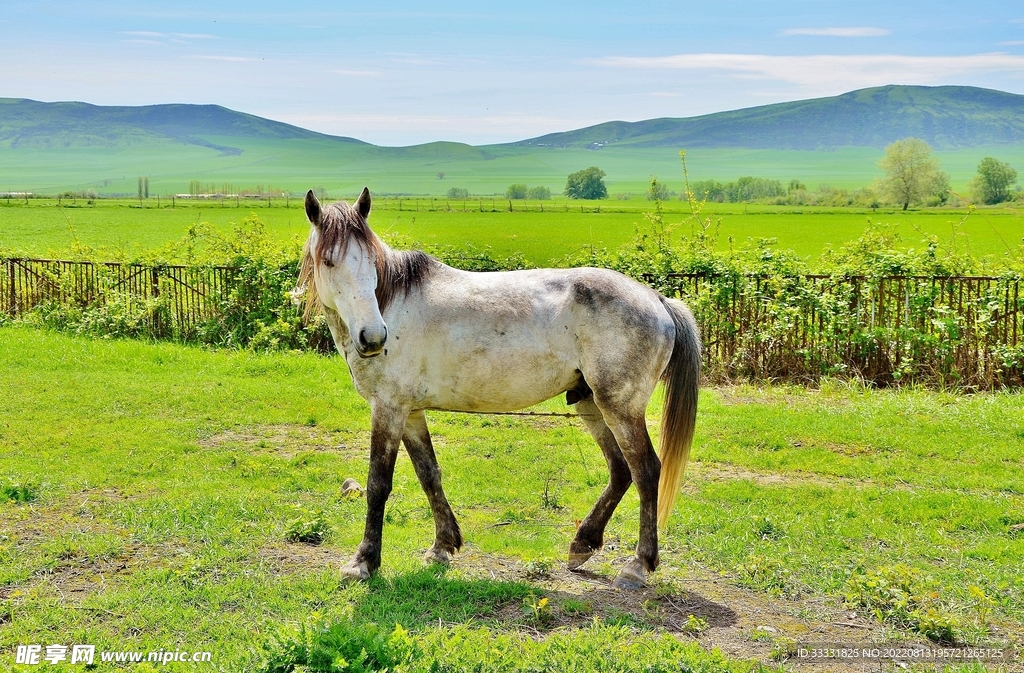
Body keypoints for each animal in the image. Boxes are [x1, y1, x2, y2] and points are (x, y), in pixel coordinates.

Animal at [295, 188, 700, 589]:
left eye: (370, 261)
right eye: (329, 262)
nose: (373, 337)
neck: (393, 303)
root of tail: (658, 300)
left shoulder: (388, 408)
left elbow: (378, 483)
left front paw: (363, 562)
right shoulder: (410, 412)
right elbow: (429, 473)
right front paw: (442, 547)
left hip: (620, 408)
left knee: (645, 470)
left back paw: (638, 564)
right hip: (591, 404)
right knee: (620, 470)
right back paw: (582, 544)